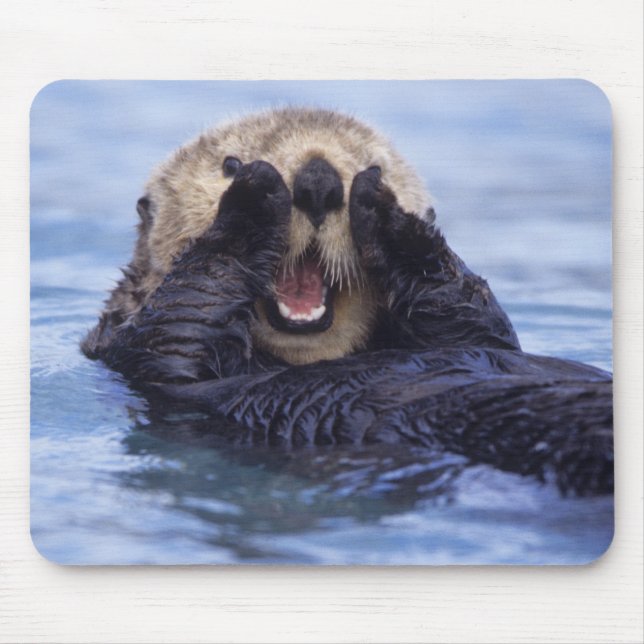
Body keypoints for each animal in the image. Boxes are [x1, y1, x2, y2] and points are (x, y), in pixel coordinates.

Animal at [82, 108, 612, 496]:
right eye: (228, 165)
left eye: (374, 165)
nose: (318, 180)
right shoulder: (140, 353)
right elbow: (183, 317)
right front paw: (253, 197)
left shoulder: (479, 334)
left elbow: (477, 322)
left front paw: (389, 215)